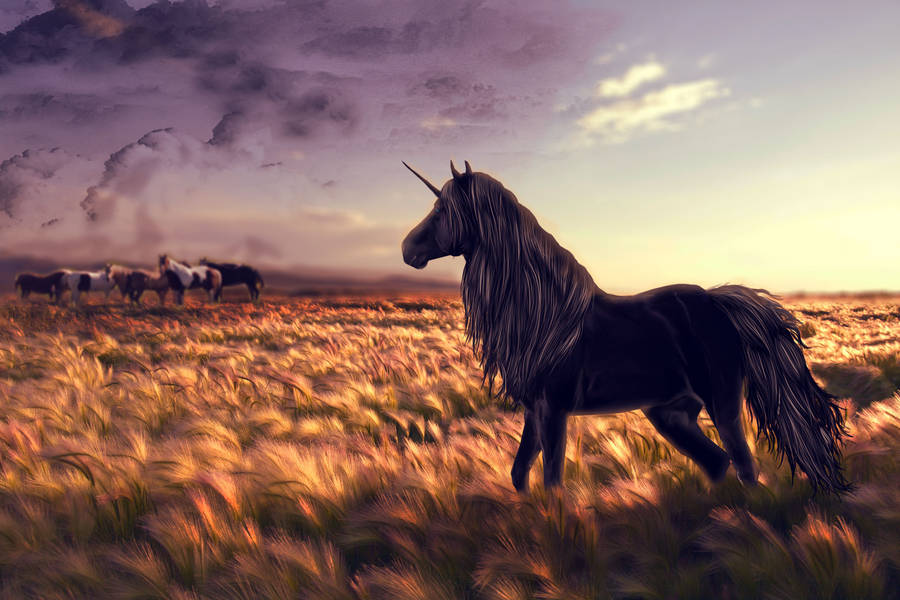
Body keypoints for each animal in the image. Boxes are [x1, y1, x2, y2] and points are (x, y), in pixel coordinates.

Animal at [401, 161, 849, 494]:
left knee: (742, 465)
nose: (407, 249)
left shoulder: (554, 409)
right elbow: (519, 474)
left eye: (442, 211)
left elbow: (551, 480)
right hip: (670, 413)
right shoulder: (534, 409)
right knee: (718, 463)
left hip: (721, 405)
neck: (546, 316)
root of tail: (717, 301)